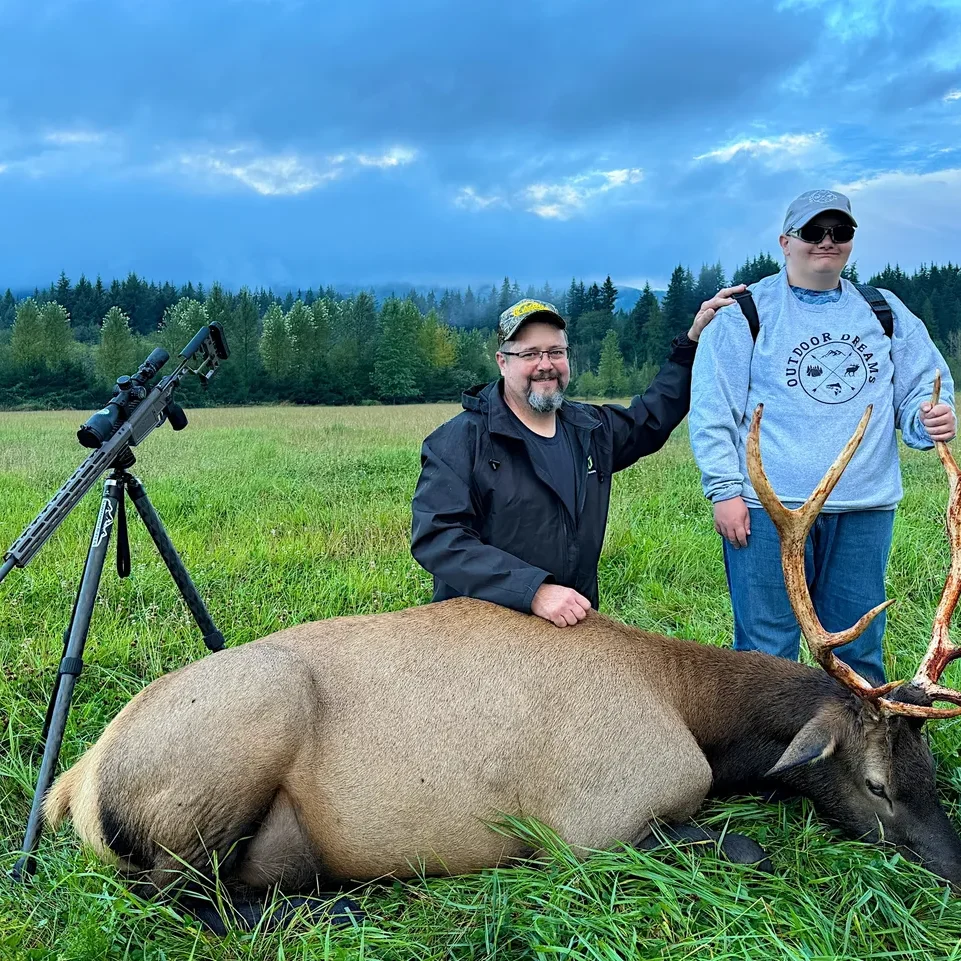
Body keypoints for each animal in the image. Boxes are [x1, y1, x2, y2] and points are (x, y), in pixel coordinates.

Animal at [42, 376, 961, 934]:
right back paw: (341, 906)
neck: (689, 708)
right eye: (875, 783)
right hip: (232, 748)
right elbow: (748, 848)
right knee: (172, 895)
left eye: (934, 771)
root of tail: (71, 786)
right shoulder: (591, 825)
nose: (954, 866)